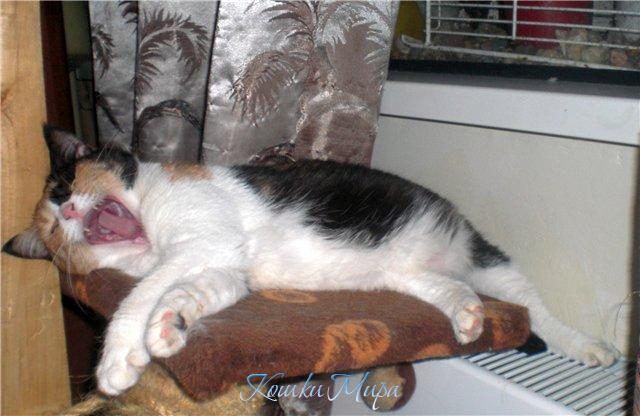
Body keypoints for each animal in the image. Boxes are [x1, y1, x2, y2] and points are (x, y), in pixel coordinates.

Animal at [4, 126, 618, 396]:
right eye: (53, 229)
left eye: (64, 188)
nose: (69, 214)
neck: (148, 221)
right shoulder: (224, 266)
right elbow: (191, 289)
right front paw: (171, 323)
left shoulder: (206, 238)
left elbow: (141, 289)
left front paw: (117, 358)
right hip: (408, 276)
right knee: (450, 290)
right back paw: (466, 313)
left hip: (483, 254)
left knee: (533, 306)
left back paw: (587, 346)